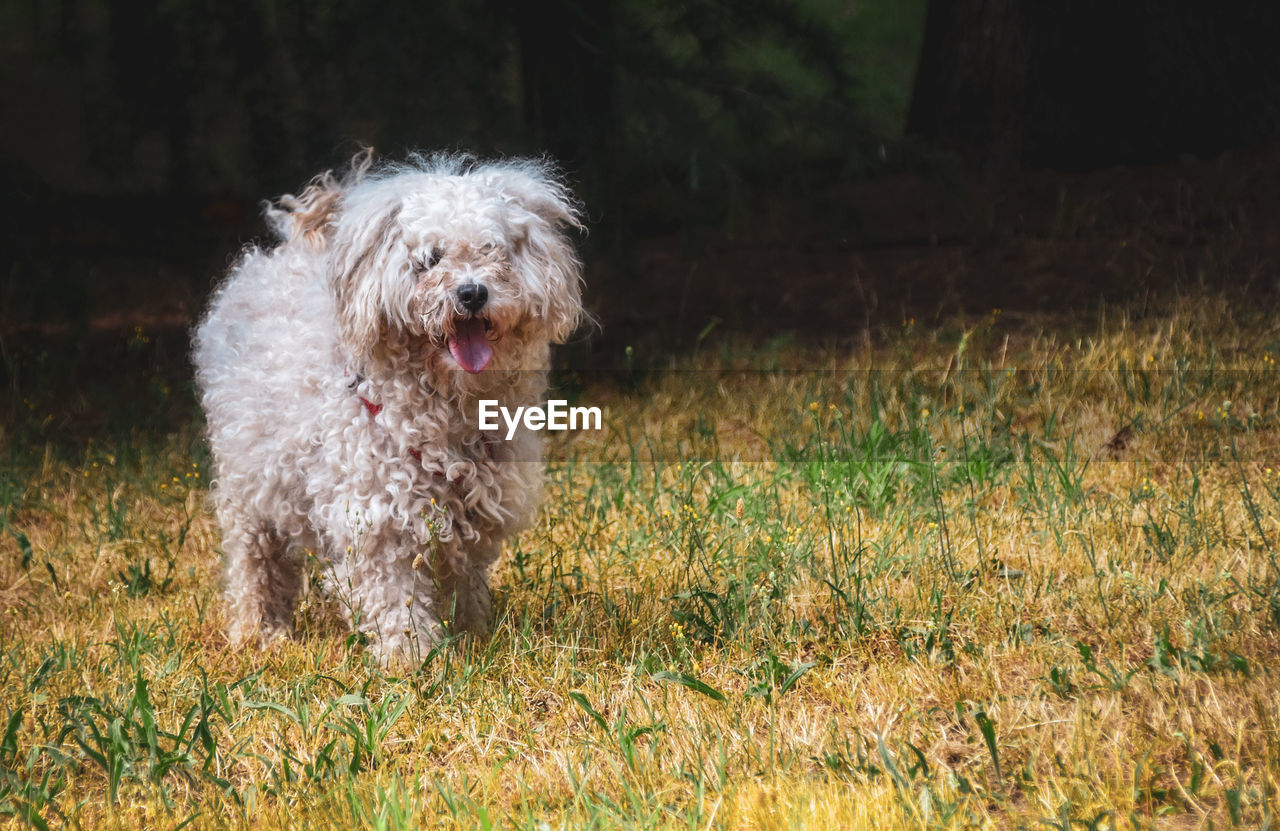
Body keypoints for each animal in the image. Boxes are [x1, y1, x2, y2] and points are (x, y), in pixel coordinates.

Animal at [190, 150, 586, 665]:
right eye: (429, 259)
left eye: (491, 251)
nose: (472, 293)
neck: (443, 409)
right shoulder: (376, 517)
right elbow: (395, 596)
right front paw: (411, 659)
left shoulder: (475, 510)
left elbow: (464, 578)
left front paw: (474, 635)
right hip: (247, 483)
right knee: (254, 559)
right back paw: (260, 630)